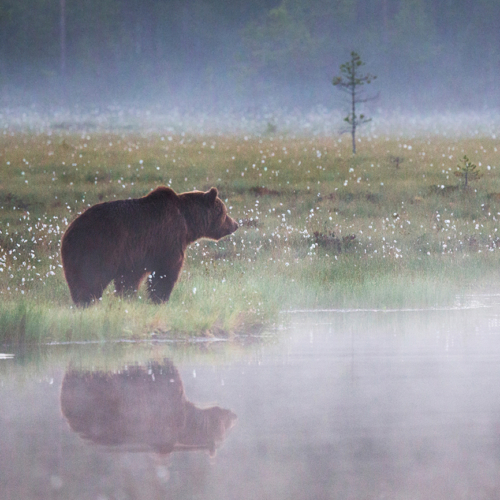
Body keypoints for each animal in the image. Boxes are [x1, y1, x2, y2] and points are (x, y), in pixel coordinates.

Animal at [60, 187, 238, 304]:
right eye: (225, 212)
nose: (235, 224)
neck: (188, 223)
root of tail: (68, 231)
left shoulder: (133, 258)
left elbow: (129, 280)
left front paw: (127, 298)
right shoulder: (168, 240)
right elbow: (166, 272)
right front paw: (160, 299)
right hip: (97, 249)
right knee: (91, 279)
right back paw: (87, 300)